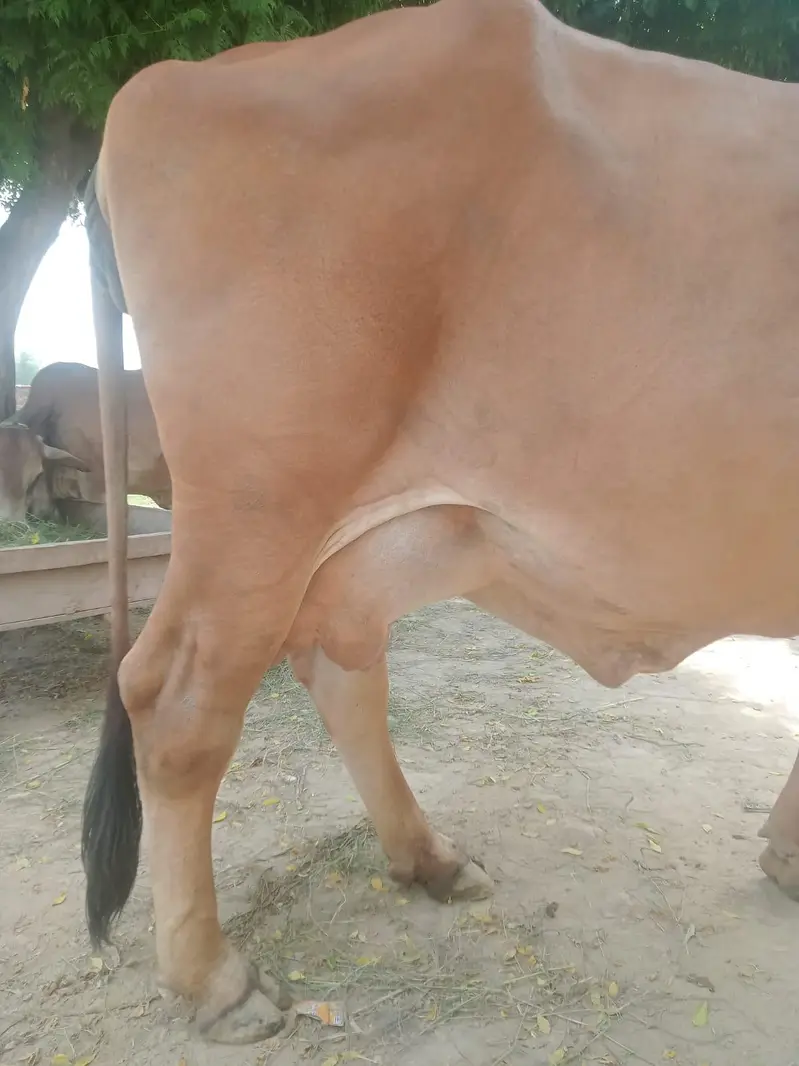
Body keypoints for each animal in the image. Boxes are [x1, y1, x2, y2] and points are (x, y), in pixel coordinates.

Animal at [81, 0, 799, 1045]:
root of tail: (172, 77)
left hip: (372, 534)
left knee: (340, 669)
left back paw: (427, 857)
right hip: (259, 512)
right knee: (178, 703)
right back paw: (215, 978)